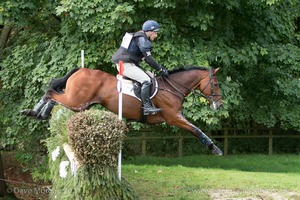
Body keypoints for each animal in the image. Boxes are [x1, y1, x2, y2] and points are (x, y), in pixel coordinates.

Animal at [22, 66, 223, 155]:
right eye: (215, 84)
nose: (219, 105)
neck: (172, 87)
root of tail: (80, 70)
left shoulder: (170, 118)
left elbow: (194, 129)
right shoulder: (173, 117)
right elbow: (196, 129)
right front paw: (215, 148)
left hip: (79, 103)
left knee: (54, 95)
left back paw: (37, 113)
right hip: (77, 102)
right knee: (51, 93)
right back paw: (36, 112)